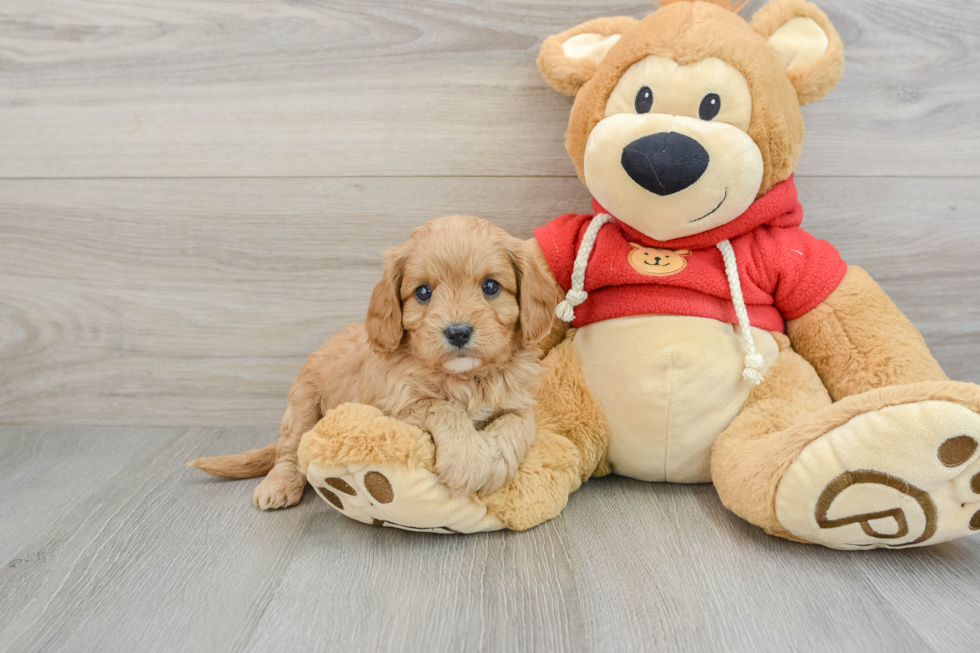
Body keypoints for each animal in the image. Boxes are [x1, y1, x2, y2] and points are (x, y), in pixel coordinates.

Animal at [189, 215, 560, 510]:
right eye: (423, 292)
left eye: (491, 286)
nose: (457, 332)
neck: (467, 379)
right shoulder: (397, 406)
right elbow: (444, 407)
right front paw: (468, 461)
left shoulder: (518, 400)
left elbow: (520, 424)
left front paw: (494, 460)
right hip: (303, 404)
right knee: (289, 451)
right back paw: (278, 486)